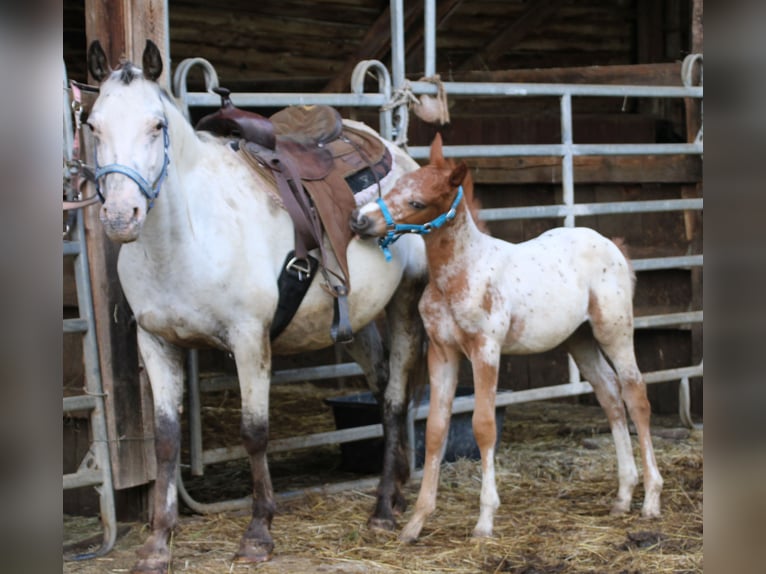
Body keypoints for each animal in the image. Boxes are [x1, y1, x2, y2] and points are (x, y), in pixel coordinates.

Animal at [352, 135, 664, 544]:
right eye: (393, 187)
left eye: (418, 202)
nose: (361, 221)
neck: (458, 275)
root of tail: (613, 246)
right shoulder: (442, 352)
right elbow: (435, 430)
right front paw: (416, 522)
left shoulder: (486, 349)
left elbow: (484, 426)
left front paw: (485, 521)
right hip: (578, 339)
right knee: (610, 395)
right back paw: (623, 496)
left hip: (614, 330)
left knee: (636, 395)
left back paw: (651, 500)